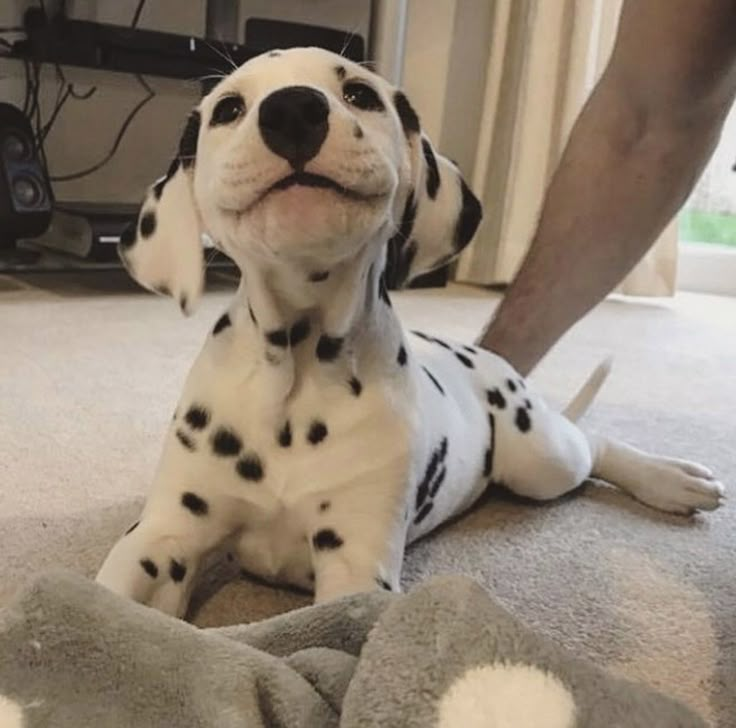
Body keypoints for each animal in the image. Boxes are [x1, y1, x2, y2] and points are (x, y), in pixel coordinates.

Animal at [96, 45, 724, 616]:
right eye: (228, 108)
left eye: (359, 94)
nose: (294, 110)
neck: (297, 373)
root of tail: (491, 360)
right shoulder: (162, 536)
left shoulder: (355, 566)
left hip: (542, 459)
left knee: (593, 444)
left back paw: (671, 480)